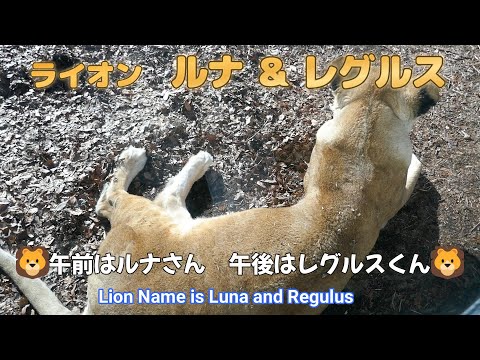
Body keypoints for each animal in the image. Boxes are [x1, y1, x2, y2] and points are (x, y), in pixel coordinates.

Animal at [0, 54, 440, 314]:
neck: (368, 120)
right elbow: (415, 169)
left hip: (165, 219)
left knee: (130, 198)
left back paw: (188, 159)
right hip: (152, 218)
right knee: (111, 199)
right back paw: (149, 158)